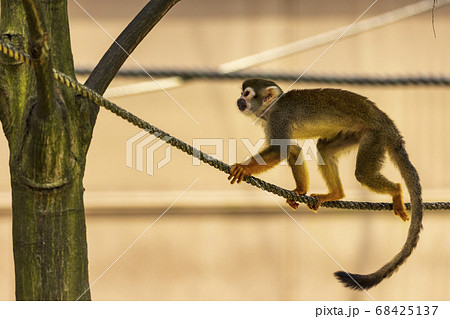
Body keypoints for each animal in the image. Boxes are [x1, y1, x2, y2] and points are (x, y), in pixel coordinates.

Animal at [229, 79, 422, 292]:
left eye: (247, 93)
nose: (239, 100)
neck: (270, 109)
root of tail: (386, 121)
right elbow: (293, 150)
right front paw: (300, 191)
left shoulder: (279, 117)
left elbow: (281, 150)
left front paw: (244, 168)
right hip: (355, 133)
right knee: (324, 148)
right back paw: (336, 193)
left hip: (375, 135)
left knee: (363, 174)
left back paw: (396, 191)